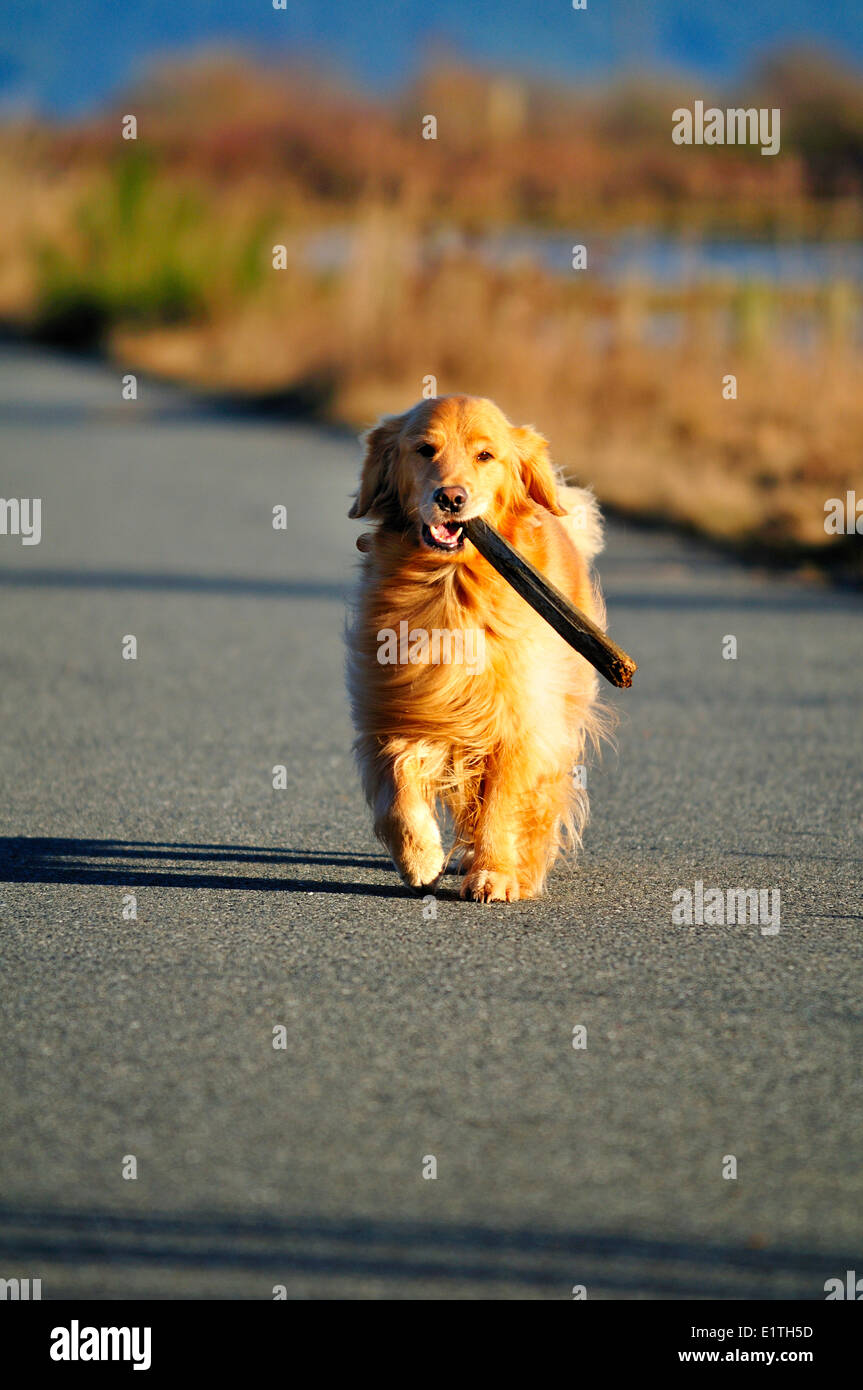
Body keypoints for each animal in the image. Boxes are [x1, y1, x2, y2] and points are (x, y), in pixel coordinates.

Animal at [343, 397, 605, 906]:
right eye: (425, 449)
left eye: (485, 456)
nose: (451, 498)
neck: (450, 585)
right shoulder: (396, 710)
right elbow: (398, 789)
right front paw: (419, 857)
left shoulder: (522, 723)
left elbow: (504, 802)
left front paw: (496, 873)